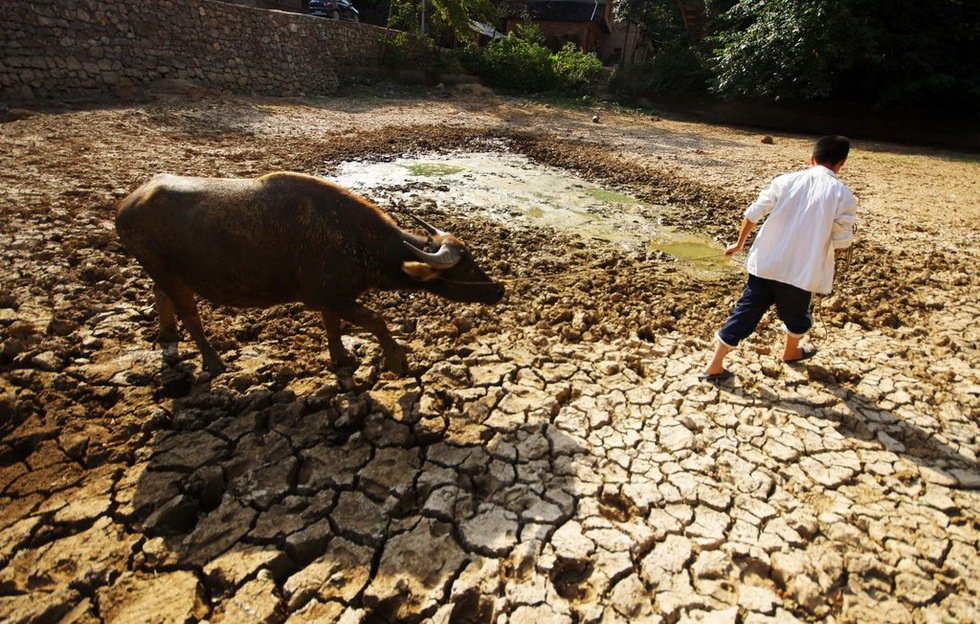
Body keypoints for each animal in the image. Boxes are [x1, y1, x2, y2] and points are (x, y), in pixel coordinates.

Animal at [115, 172, 506, 376]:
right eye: (465, 264)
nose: (498, 290)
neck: (355, 240)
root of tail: (126, 204)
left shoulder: (333, 299)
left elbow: (333, 326)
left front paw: (342, 359)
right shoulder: (327, 296)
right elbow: (376, 320)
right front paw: (398, 360)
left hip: (163, 271)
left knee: (161, 296)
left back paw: (168, 337)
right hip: (168, 272)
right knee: (190, 313)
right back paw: (213, 361)